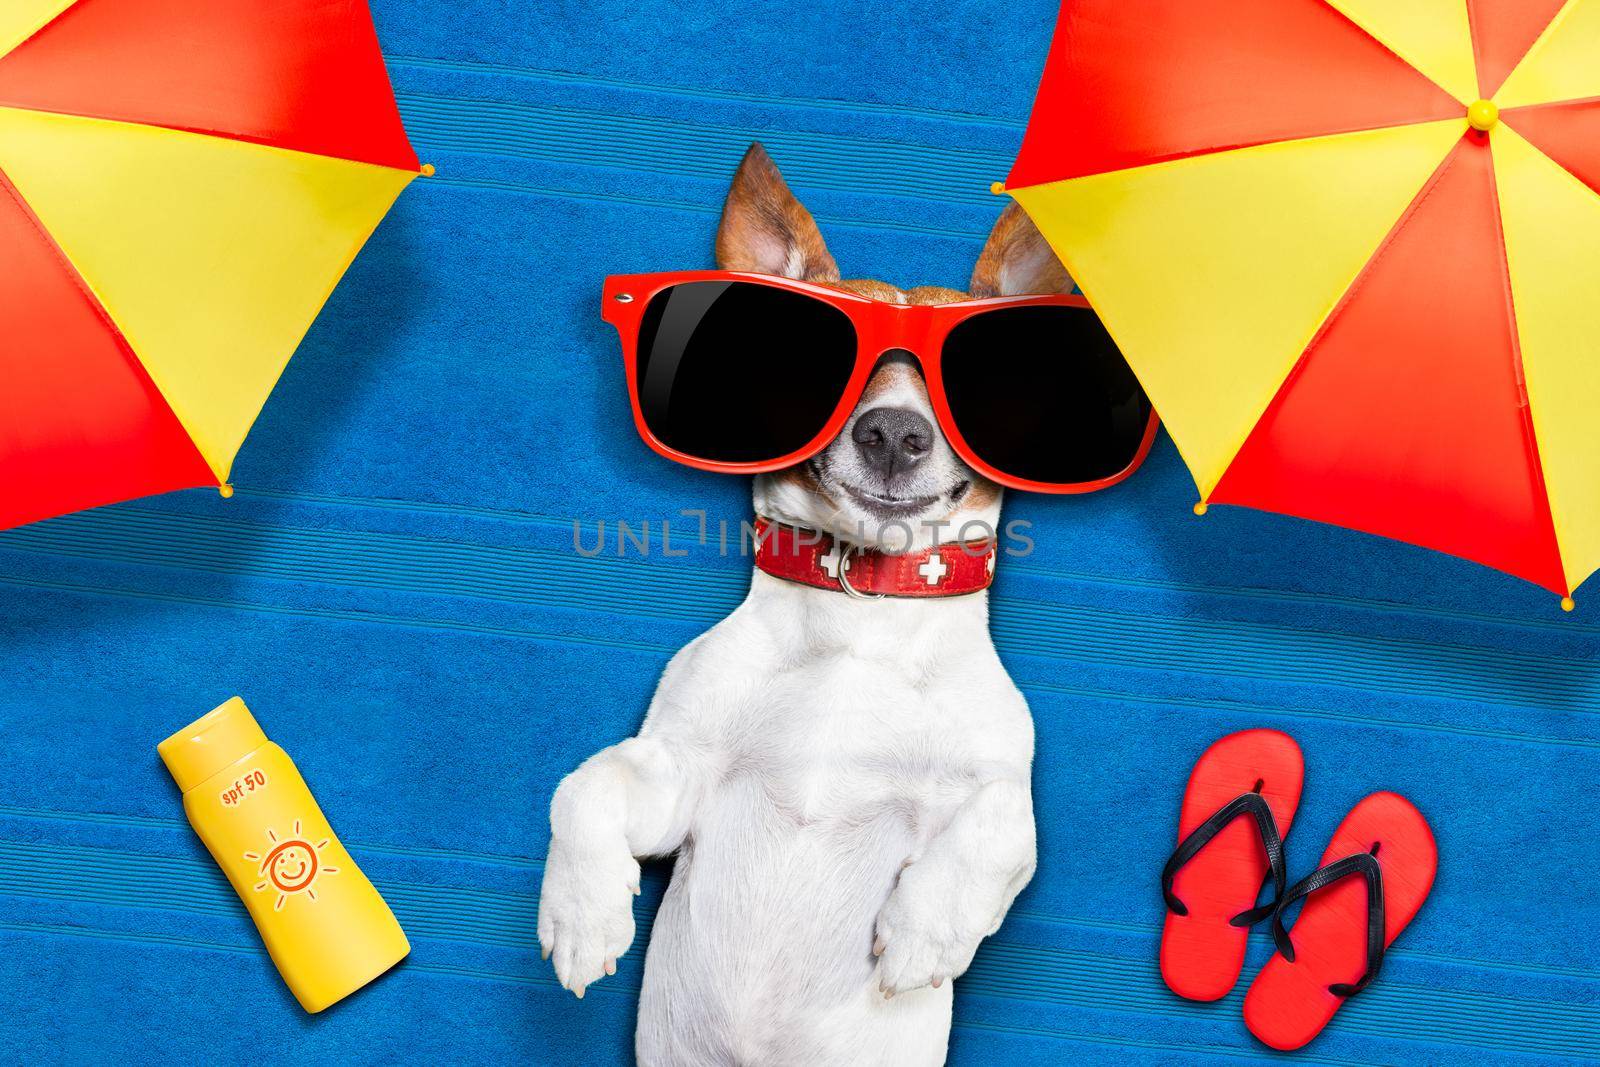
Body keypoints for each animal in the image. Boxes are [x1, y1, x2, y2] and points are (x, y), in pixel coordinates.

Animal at [540, 146, 1075, 1062]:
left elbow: (1009, 820)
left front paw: (925, 931)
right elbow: (584, 784)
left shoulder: (1003, 783)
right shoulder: (677, 779)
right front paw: (582, 916)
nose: (893, 432)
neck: (863, 617)